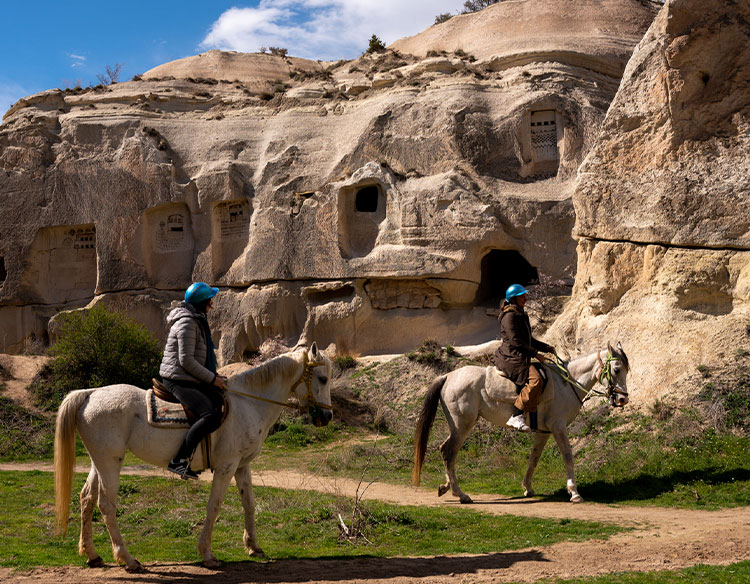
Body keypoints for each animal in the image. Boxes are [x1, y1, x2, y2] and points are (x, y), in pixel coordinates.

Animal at [54, 342, 332, 572]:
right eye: (323, 378)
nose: (327, 417)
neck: (249, 404)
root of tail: (90, 393)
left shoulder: (242, 466)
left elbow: (249, 504)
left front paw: (253, 546)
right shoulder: (226, 466)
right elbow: (214, 506)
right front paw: (207, 554)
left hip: (98, 462)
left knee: (87, 499)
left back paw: (92, 555)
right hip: (110, 462)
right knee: (106, 505)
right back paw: (128, 559)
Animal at [412, 342, 630, 504]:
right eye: (616, 369)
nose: (622, 400)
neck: (566, 384)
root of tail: (448, 376)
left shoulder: (544, 432)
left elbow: (534, 458)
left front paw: (528, 488)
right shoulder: (558, 427)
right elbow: (568, 456)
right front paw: (574, 493)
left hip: (458, 426)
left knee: (446, 451)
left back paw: (446, 487)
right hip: (462, 425)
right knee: (449, 452)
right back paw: (461, 494)